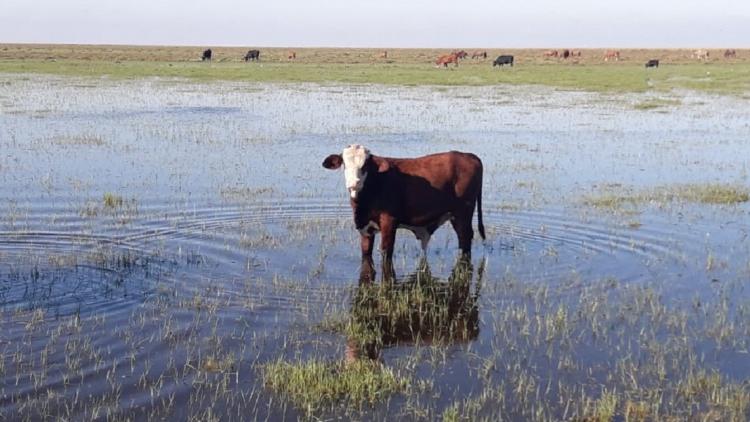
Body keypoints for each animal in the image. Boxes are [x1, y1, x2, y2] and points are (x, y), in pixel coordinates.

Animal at [324, 145, 488, 280]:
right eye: (344, 164)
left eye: (365, 165)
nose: (354, 183)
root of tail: (468, 155)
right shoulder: (366, 229)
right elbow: (366, 254)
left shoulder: (389, 221)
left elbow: (386, 252)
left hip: (462, 214)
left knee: (465, 239)